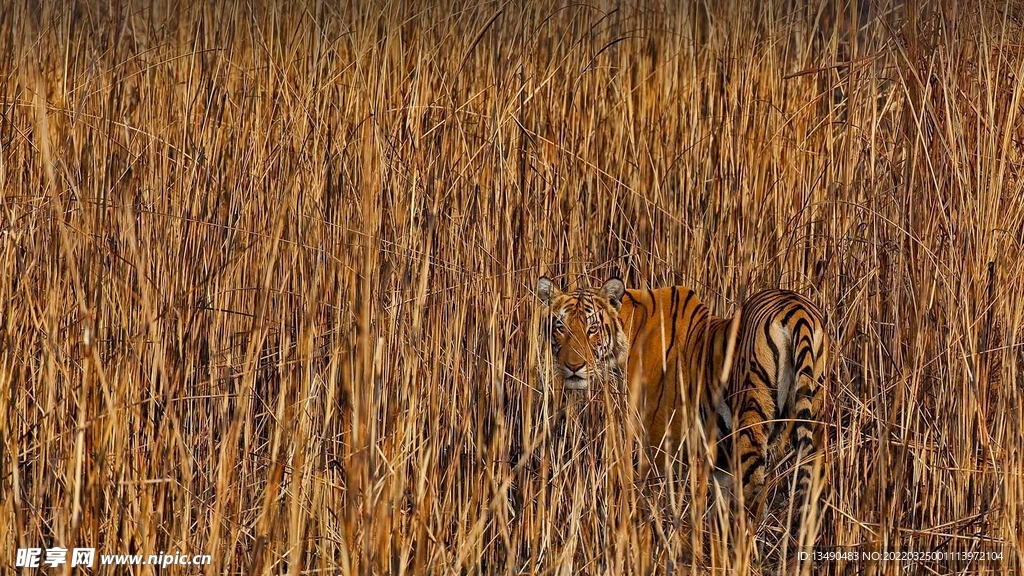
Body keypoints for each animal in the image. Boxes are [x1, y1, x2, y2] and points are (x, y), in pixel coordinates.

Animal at [540, 274, 827, 520]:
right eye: (560, 327)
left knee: (753, 498)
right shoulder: (719, 456)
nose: (573, 366)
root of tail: (796, 309)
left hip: (751, 422)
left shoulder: (661, 441)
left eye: (592, 329)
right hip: (814, 422)